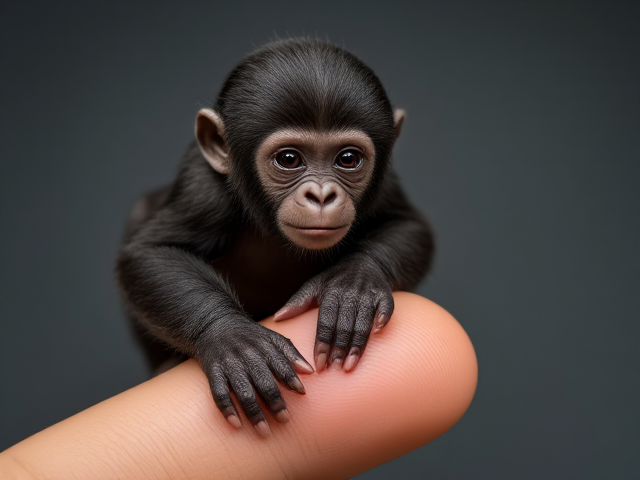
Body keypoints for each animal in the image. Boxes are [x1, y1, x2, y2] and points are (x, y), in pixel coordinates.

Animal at [117, 38, 434, 437]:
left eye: (348, 159)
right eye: (289, 159)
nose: (321, 195)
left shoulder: (386, 184)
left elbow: (408, 225)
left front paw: (354, 286)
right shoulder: (202, 184)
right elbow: (152, 251)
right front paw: (235, 341)